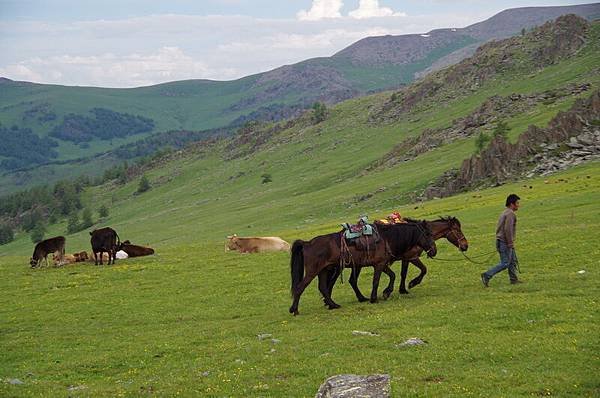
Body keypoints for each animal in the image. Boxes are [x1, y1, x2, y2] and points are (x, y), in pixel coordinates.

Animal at [290, 222, 436, 316]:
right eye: (428, 234)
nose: (434, 251)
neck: (386, 238)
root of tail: (307, 243)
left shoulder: (382, 264)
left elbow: (392, 275)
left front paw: (386, 292)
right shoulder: (379, 264)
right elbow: (376, 281)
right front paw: (374, 298)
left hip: (324, 270)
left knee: (323, 288)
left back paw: (333, 305)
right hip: (313, 271)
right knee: (300, 287)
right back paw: (295, 310)